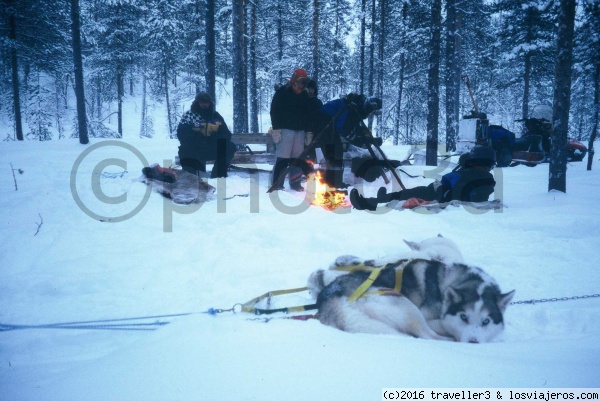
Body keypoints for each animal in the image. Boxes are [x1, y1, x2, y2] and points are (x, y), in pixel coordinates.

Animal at [308, 236, 512, 342]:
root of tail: (331, 298)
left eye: (486, 321)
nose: (473, 342)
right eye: (463, 317)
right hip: (406, 307)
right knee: (428, 336)